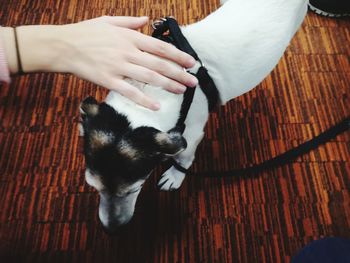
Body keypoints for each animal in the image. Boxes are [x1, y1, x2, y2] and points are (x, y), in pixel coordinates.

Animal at [79, 0, 306, 232]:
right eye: (93, 186)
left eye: (134, 189)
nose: (111, 229)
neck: (145, 90)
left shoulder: (191, 134)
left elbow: (184, 158)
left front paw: (175, 175)